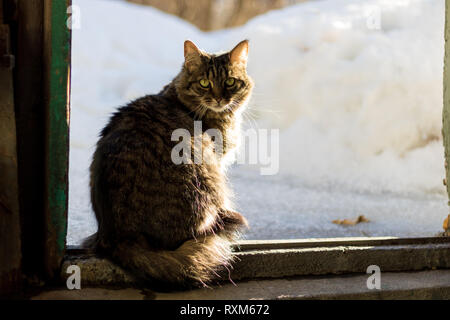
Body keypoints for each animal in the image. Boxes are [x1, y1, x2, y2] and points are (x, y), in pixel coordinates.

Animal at [84, 39, 253, 288]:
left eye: (230, 82)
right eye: (204, 83)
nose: (220, 99)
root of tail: (118, 237)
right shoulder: (217, 160)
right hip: (206, 176)